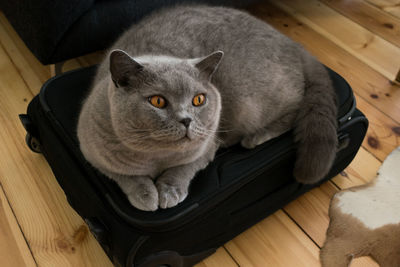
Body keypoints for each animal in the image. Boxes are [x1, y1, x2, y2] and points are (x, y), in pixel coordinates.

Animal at [77, 5, 338, 213]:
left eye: (198, 100)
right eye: (158, 101)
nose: (186, 120)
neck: (156, 158)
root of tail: (292, 43)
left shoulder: (207, 146)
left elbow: (183, 169)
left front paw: (168, 192)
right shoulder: (94, 155)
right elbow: (128, 176)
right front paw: (146, 196)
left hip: (252, 102)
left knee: (295, 108)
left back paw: (255, 137)